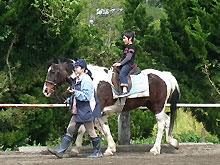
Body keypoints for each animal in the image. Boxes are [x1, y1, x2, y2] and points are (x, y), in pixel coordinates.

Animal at [42, 58, 180, 156]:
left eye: (53, 71)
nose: (45, 90)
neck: (92, 82)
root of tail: (165, 75)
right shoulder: (93, 112)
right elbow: (87, 129)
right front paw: (77, 149)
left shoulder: (96, 111)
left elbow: (98, 129)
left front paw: (109, 149)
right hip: (153, 106)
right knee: (167, 120)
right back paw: (173, 142)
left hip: (157, 106)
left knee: (161, 124)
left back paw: (155, 149)